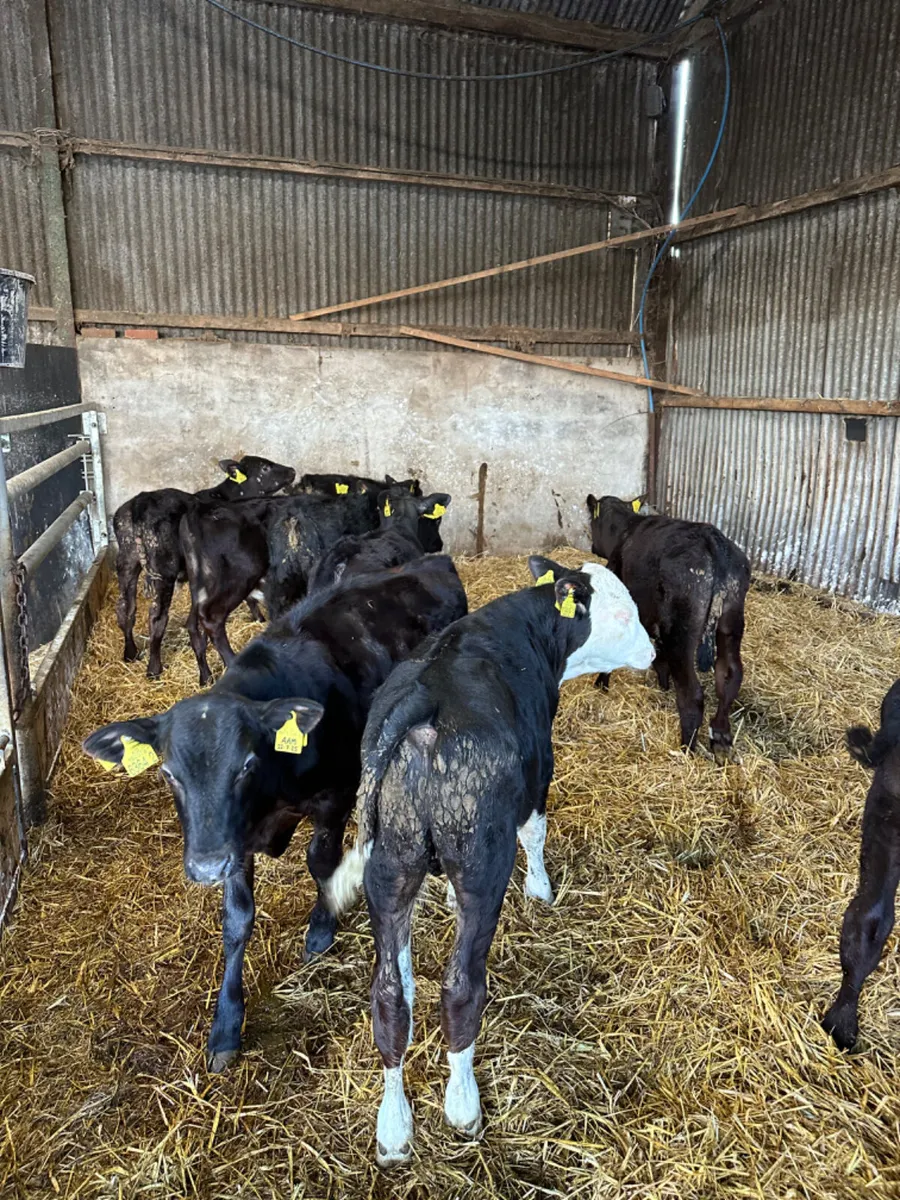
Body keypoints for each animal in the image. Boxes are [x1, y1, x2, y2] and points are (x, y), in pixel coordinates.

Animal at [82, 557, 468, 1071]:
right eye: (167, 773)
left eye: (247, 764)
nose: (205, 866)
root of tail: (434, 562)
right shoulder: (233, 840)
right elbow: (237, 917)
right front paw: (226, 1025)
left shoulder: (334, 797)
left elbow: (321, 863)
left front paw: (321, 928)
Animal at [114, 457, 295, 678]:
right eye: (265, 467)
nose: (292, 471)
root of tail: (139, 503)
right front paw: (259, 618)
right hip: (163, 568)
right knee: (156, 617)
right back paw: (154, 668)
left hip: (127, 561)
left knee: (125, 607)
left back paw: (130, 653)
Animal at [325, 556, 654, 1165]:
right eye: (625, 613)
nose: (651, 652)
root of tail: (421, 708)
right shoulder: (540, 765)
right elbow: (537, 830)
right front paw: (542, 891)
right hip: (481, 866)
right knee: (460, 988)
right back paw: (462, 1105)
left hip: (391, 865)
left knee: (391, 996)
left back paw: (394, 1127)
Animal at [587, 495, 750, 760]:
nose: (592, 546)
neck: (627, 529)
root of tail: (713, 541)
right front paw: (662, 686)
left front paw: (602, 683)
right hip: (731, 624)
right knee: (729, 674)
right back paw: (720, 738)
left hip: (681, 634)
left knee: (692, 693)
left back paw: (686, 749)